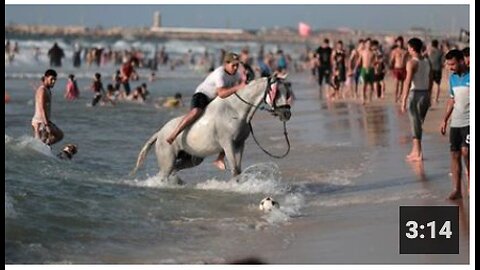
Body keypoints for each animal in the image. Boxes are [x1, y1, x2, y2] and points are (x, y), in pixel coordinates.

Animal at [129, 75, 292, 182]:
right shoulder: (228, 143)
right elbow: (235, 169)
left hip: (191, 159)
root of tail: (160, 133)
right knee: (164, 174)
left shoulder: (240, 144)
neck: (237, 110)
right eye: (276, 92)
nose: (287, 113)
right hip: (167, 160)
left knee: (174, 170)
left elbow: (238, 170)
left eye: (287, 92)